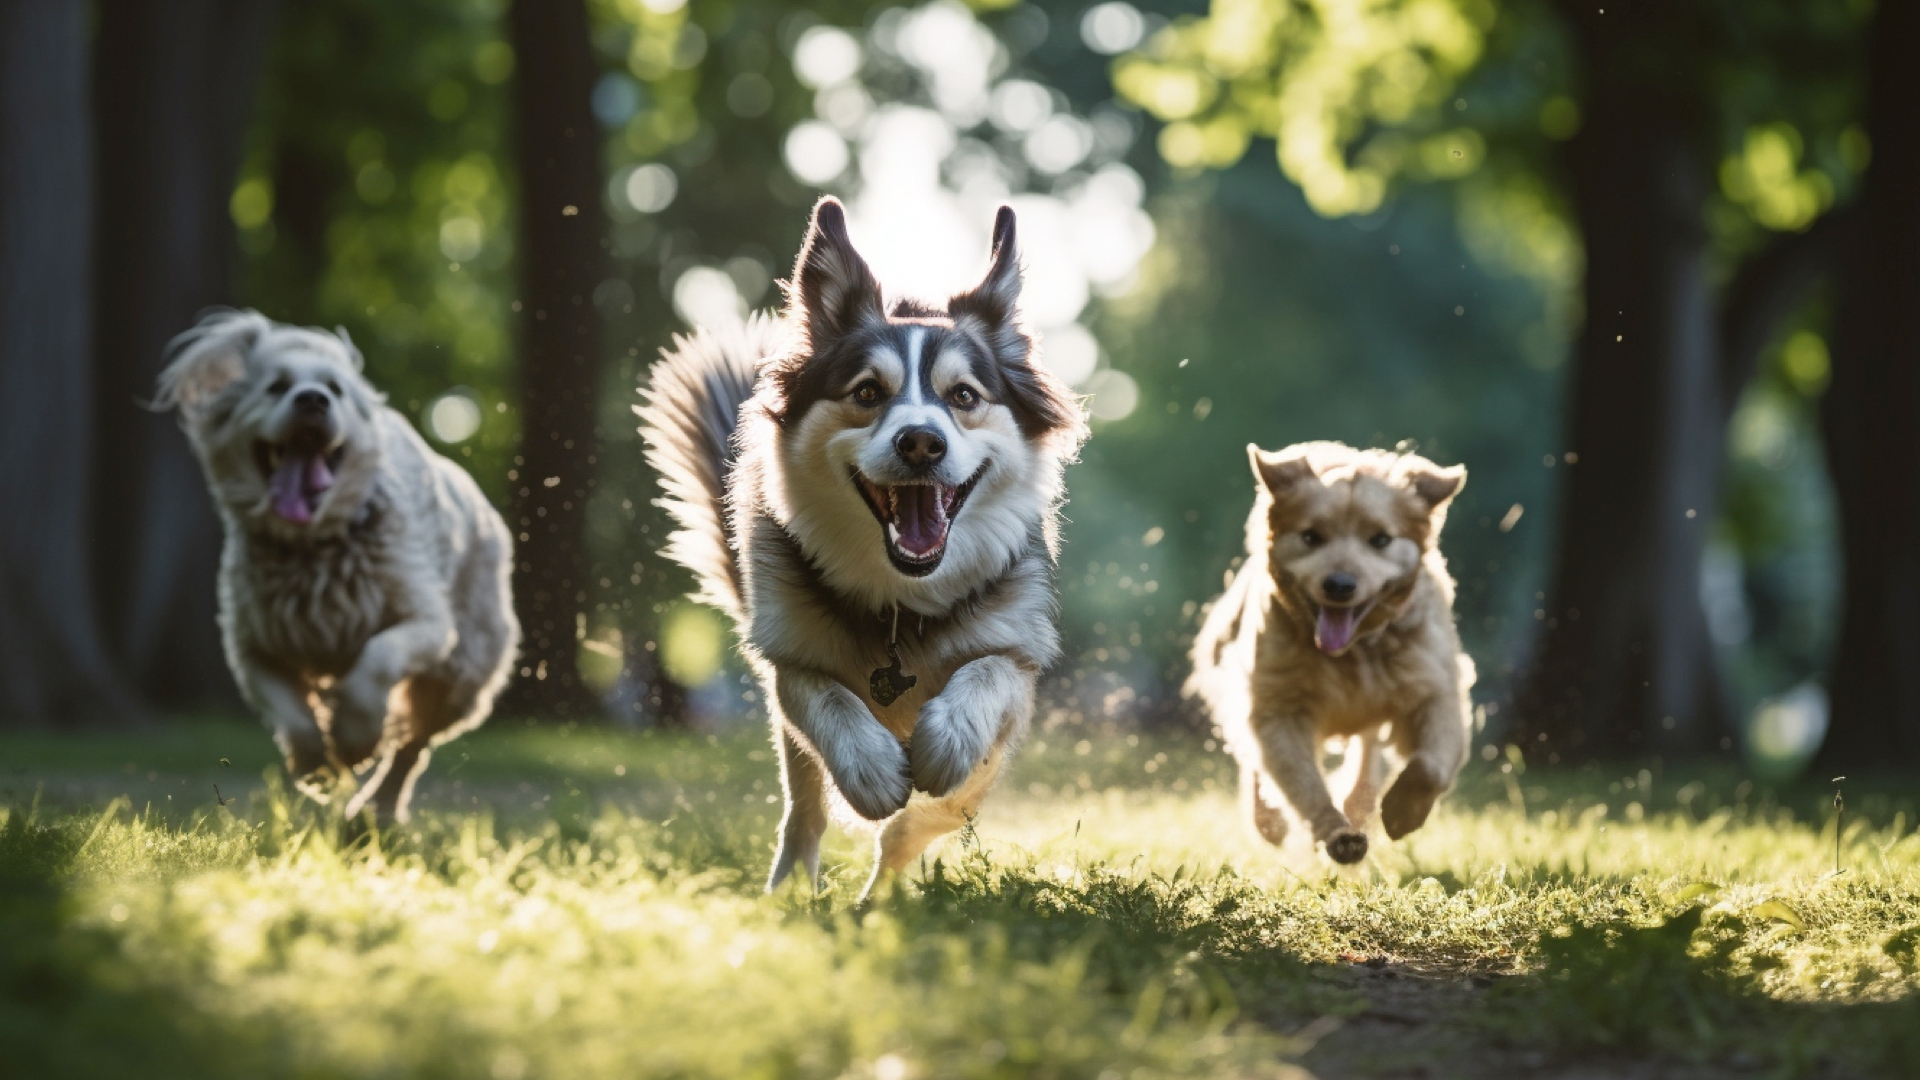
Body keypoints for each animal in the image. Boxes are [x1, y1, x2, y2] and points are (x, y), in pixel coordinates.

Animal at [155, 307, 518, 818]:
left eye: (335, 389)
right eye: (275, 386)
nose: (312, 399)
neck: (312, 543)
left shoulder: (425, 622)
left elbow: (377, 661)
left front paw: (354, 740)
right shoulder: (252, 647)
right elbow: (291, 714)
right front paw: (318, 765)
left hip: (460, 675)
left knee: (412, 748)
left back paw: (378, 810)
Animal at [641, 197, 1090, 895]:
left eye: (964, 396)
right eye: (868, 393)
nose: (921, 442)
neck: (903, 601)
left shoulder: (1017, 664)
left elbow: (976, 705)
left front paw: (944, 748)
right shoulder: (787, 653)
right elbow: (826, 700)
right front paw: (873, 772)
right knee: (802, 809)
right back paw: (789, 890)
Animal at [1182, 441, 1466, 860]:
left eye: (1380, 539)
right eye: (1311, 536)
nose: (1340, 585)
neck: (1351, 652)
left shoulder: (1435, 687)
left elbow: (1431, 765)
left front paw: (1402, 811)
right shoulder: (1278, 707)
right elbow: (1304, 785)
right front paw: (1337, 834)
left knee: (1367, 752)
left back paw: (1362, 803)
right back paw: (1269, 818)